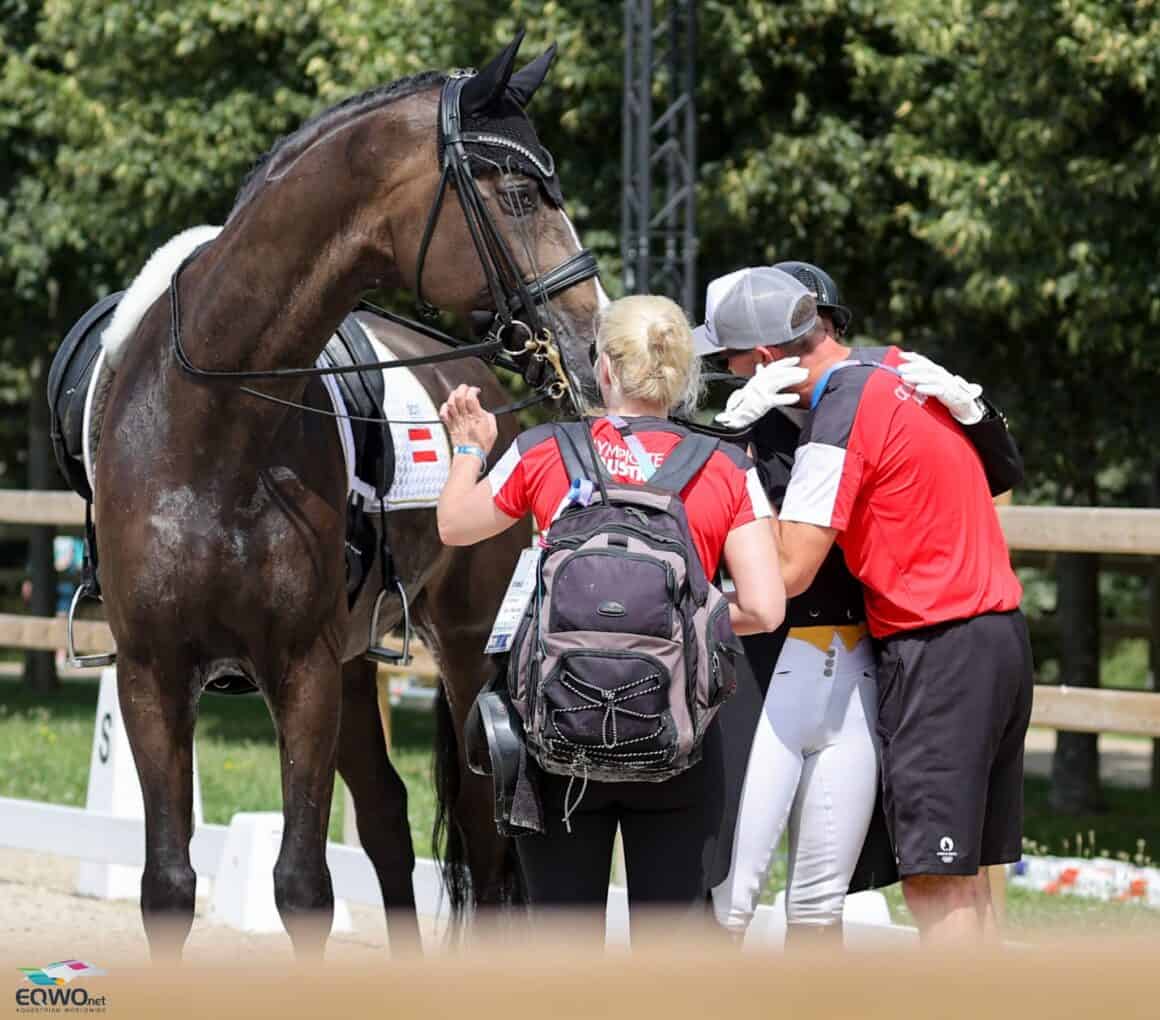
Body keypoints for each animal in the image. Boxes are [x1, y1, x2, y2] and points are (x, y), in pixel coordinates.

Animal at [91, 33, 607, 956]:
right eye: (518, 195)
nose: (589, 345)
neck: (214, 428)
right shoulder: (152, 673)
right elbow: (168, 886)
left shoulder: (301, 672)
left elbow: (302, 886)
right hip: (358, 660)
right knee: (389, 822)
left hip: (462, 651)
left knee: (483, 829)